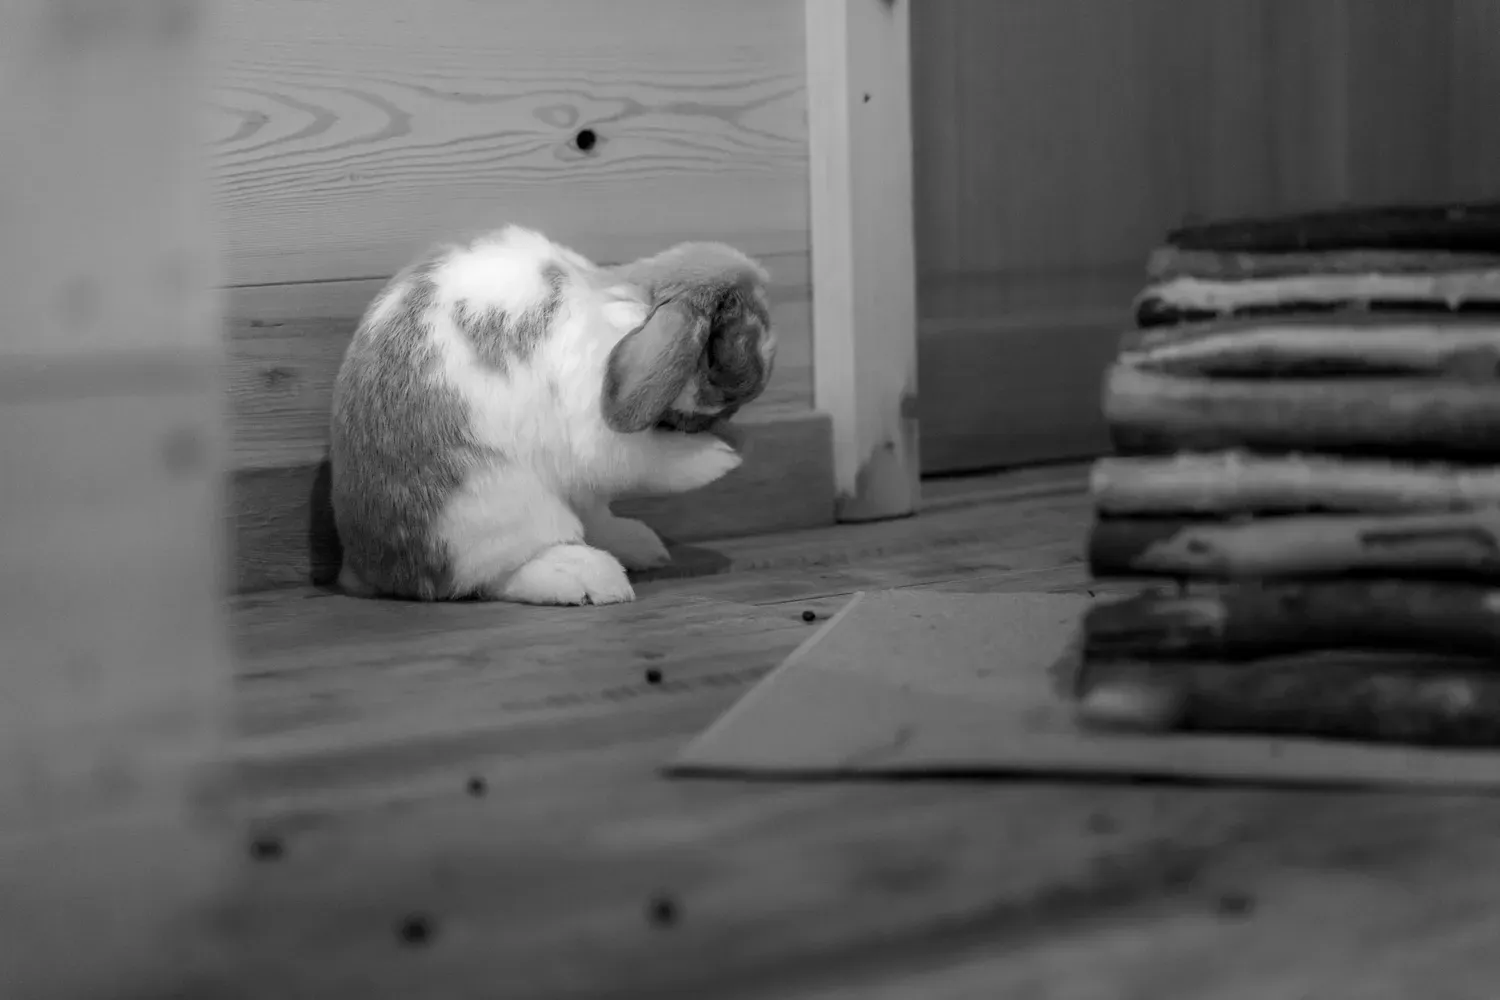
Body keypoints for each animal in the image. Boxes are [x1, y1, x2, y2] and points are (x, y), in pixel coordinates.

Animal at [329, 224, 776, 605]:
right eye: (722, 344)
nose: (749, 388)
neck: (630, 307)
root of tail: (367, 568)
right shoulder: (601, 434)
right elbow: (660, 463)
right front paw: (724, 455)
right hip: (496, 510)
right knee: (494, 575)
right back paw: (587, 576)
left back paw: (640, 545)